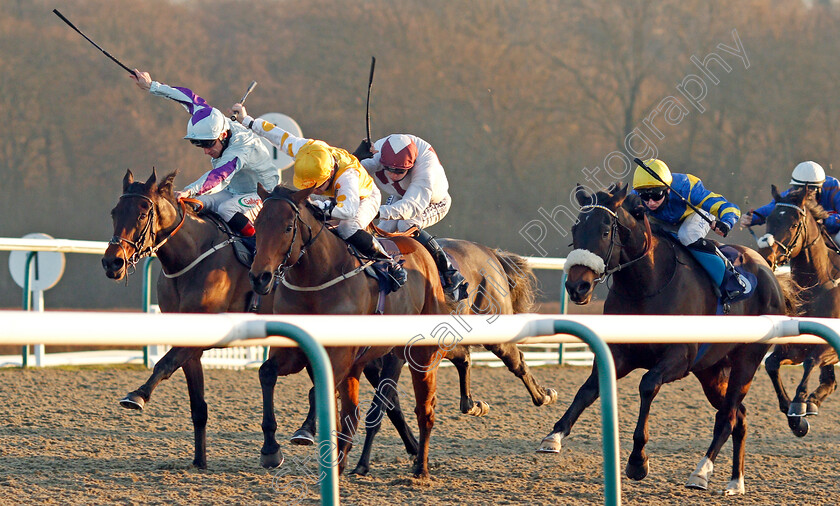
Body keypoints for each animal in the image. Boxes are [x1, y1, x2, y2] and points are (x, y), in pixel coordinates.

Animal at [100, 171, 274, 470]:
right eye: (114, 212)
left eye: (142, 213)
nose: (113, 263)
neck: (193, 257)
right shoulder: (189, 341)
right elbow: (198, 407)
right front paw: (199, 461)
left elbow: (164, 363)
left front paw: (137, 395)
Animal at [248, 185, 452, 478]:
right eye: (257, 225)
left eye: (288, 227)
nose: (259, 278)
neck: (317, 280)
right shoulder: (295, 351)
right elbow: (266, 373)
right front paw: (270, 450)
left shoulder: (340, 354)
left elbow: (318, 391)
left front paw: (305, 431)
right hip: (360, 363)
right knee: (351, 413)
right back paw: (342, 463)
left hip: (420, 355)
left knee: (425, 410)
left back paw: (420, 469)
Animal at [348, 239, 556, 476]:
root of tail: (491, 252)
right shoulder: (370, 365)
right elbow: (392, 408)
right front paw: (413, 450)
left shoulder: (395, 358)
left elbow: (379, 407)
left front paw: (362, 464)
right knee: (463, 357)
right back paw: (471, 404)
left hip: (494, 330)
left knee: (517, 361)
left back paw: (543, 396)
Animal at [544, 182, 796, 494]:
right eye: (575, 229)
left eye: (604, 231)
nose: (577, 286)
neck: (647, 285)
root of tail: (769, 272)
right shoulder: (620, 352)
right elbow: (588, 390)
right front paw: (554, 435)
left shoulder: (679, 357)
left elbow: (647, 384)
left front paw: (638, 461)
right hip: (712, 371)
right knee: (740, 416)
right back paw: (735, 482)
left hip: (747, 360)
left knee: (727, 417)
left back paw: (701, 472)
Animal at [756, 186, 836, 434]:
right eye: (769, 219)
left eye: (793, 224)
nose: (766, 256)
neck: (815, 289)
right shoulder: (793, 344)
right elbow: (771, 364)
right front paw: (795, 418)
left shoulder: (828, 345)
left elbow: (811, 361)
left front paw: (799, 403)